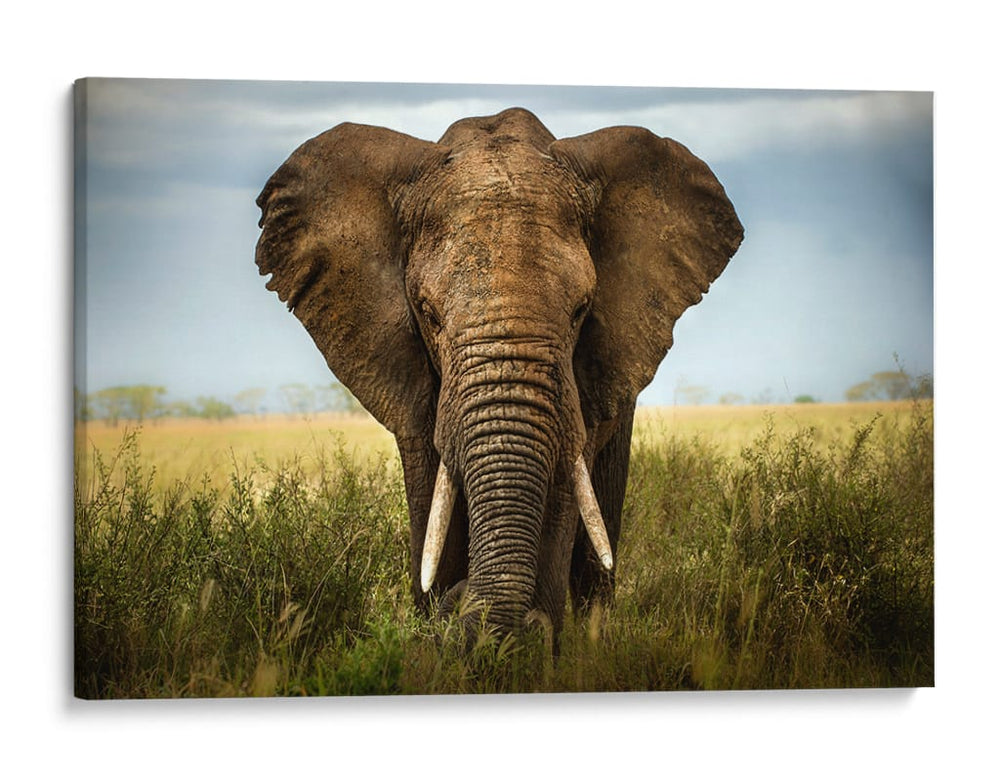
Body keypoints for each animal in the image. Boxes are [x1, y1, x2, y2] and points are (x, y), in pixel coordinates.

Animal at [255, 107, 743, 641]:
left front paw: (529, 642)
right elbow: (431, 501)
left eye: (581, 310)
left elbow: (561, 492)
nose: (461, 601)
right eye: (428, 313)